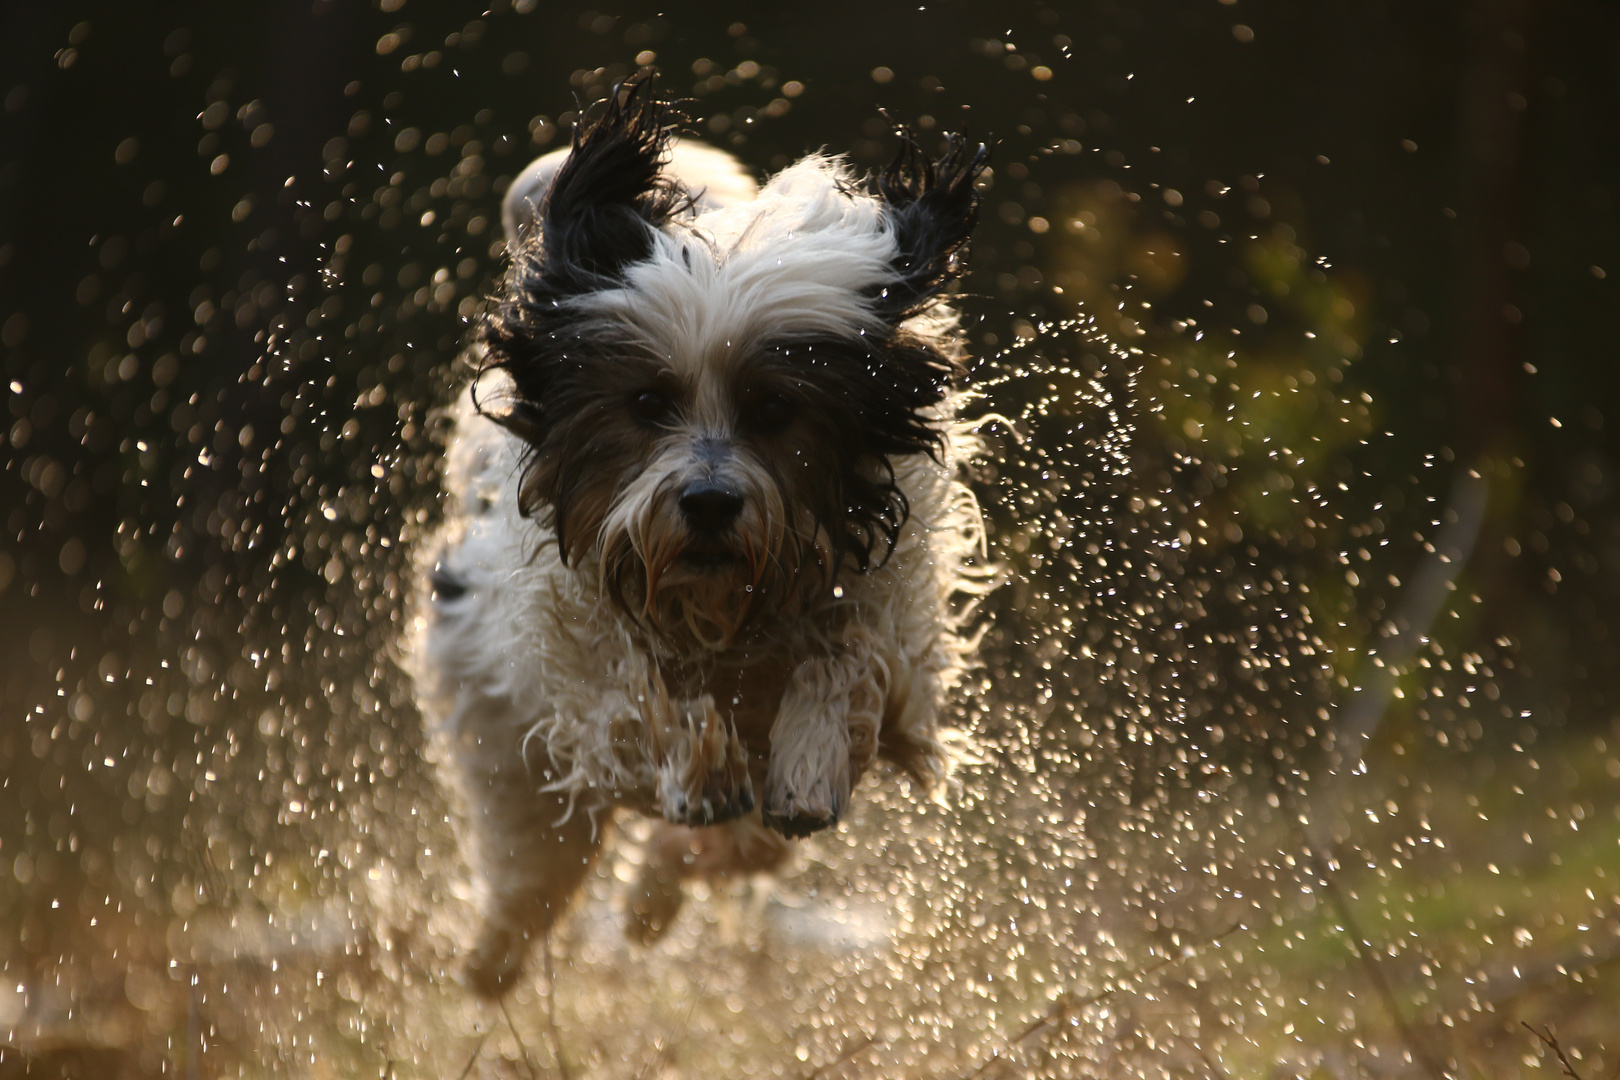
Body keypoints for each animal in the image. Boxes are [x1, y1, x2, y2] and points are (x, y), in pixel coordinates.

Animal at [408, 76, 984, 1003]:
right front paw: (698, 758)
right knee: (535, 856)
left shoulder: (889, 636)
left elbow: (844, 668)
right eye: (647, 402)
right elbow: (641, 692)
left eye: (774, 408)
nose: (709, 502)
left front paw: (806, 762)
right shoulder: (564, 648)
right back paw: (496, 957)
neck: (724, 605)